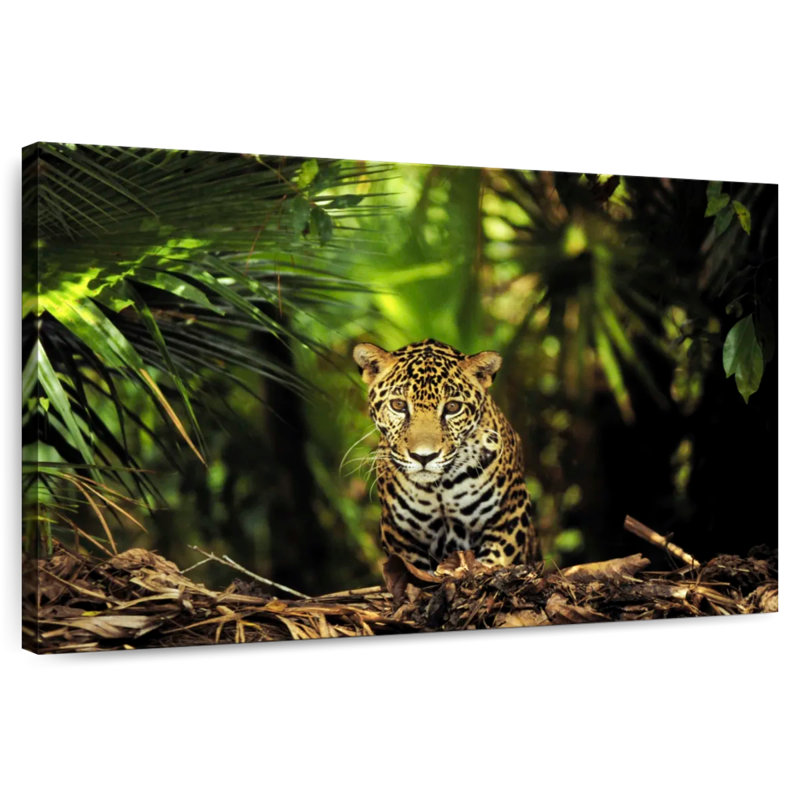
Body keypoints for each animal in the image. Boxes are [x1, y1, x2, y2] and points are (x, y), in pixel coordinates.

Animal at [352, 338, 539, 572]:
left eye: (452, 407)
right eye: (398, 405)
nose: (423, 457)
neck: (440, 488)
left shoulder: (512, 512)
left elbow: (495, 560)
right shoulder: (399, 534)